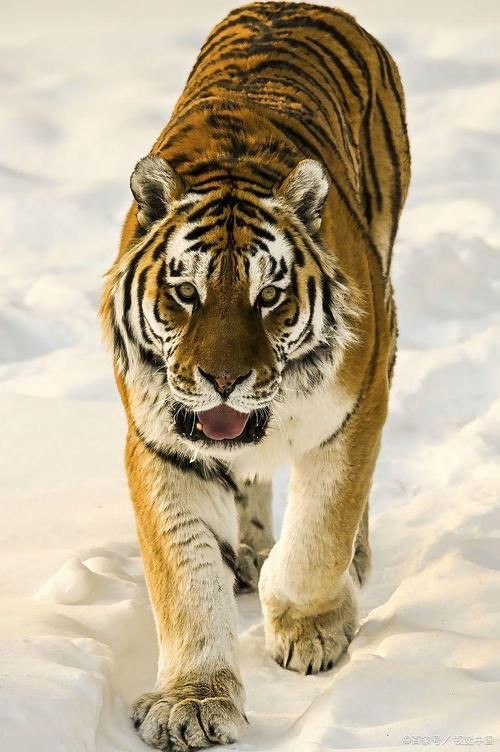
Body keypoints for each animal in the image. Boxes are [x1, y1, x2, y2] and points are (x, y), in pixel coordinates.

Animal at [101, 2, 410, 749]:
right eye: (186, 293)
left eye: (269, 296)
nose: (223, 379)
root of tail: (297, 5)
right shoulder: (160, 442)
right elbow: (185, 580)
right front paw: (193, 701)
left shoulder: (354, 406)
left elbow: (321, 532)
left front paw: (311, 628)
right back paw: (247, 551)